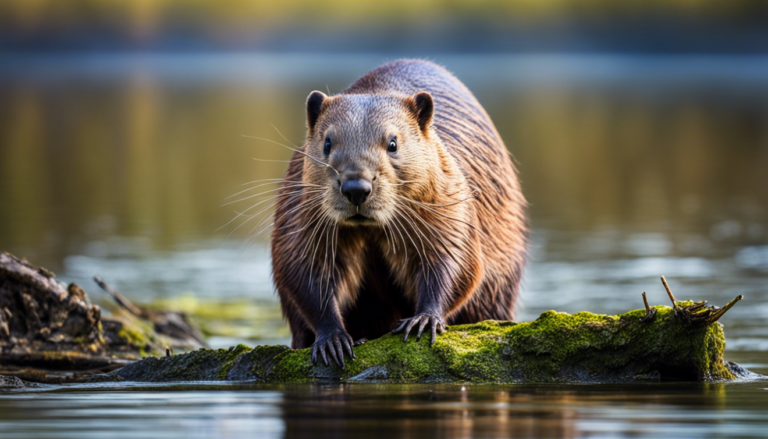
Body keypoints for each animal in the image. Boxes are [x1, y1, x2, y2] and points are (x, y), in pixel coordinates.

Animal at [272, 59, 528, 368]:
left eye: (393, 143)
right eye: (327, 143)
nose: (356, 188)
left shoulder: (450, 202)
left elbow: (457, 262)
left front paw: (422, 321)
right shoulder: (299, 211)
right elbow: (303, 270)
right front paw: (334, 341)